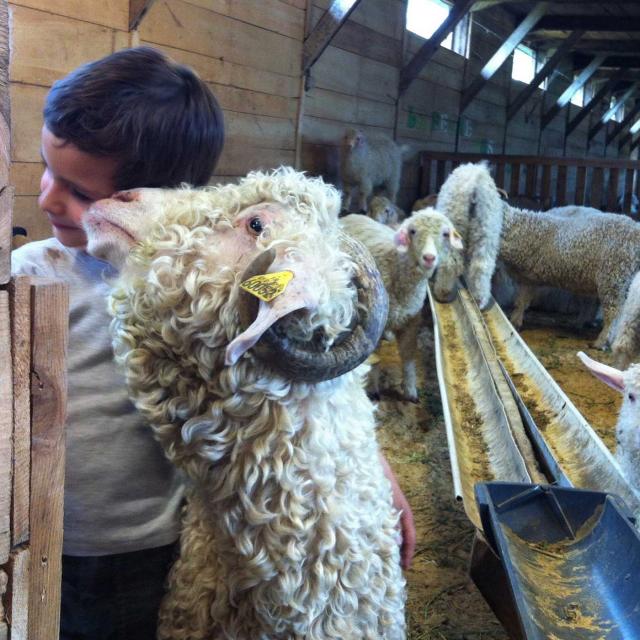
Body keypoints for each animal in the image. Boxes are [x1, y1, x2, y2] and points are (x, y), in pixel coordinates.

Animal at [340, 209, 460, 400]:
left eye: (445, 234)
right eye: (412, 231)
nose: (429, 257)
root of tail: (352, 215)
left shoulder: (412, 320)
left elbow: (409, 357)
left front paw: (410, 390)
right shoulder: (376, 323)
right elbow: (376, 357)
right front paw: (372, 388)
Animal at [436, 161, 504, 308]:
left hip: (455, 228)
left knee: (450, 262)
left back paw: (443, 293)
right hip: (486, 231)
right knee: (481, 267)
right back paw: (479, 299)